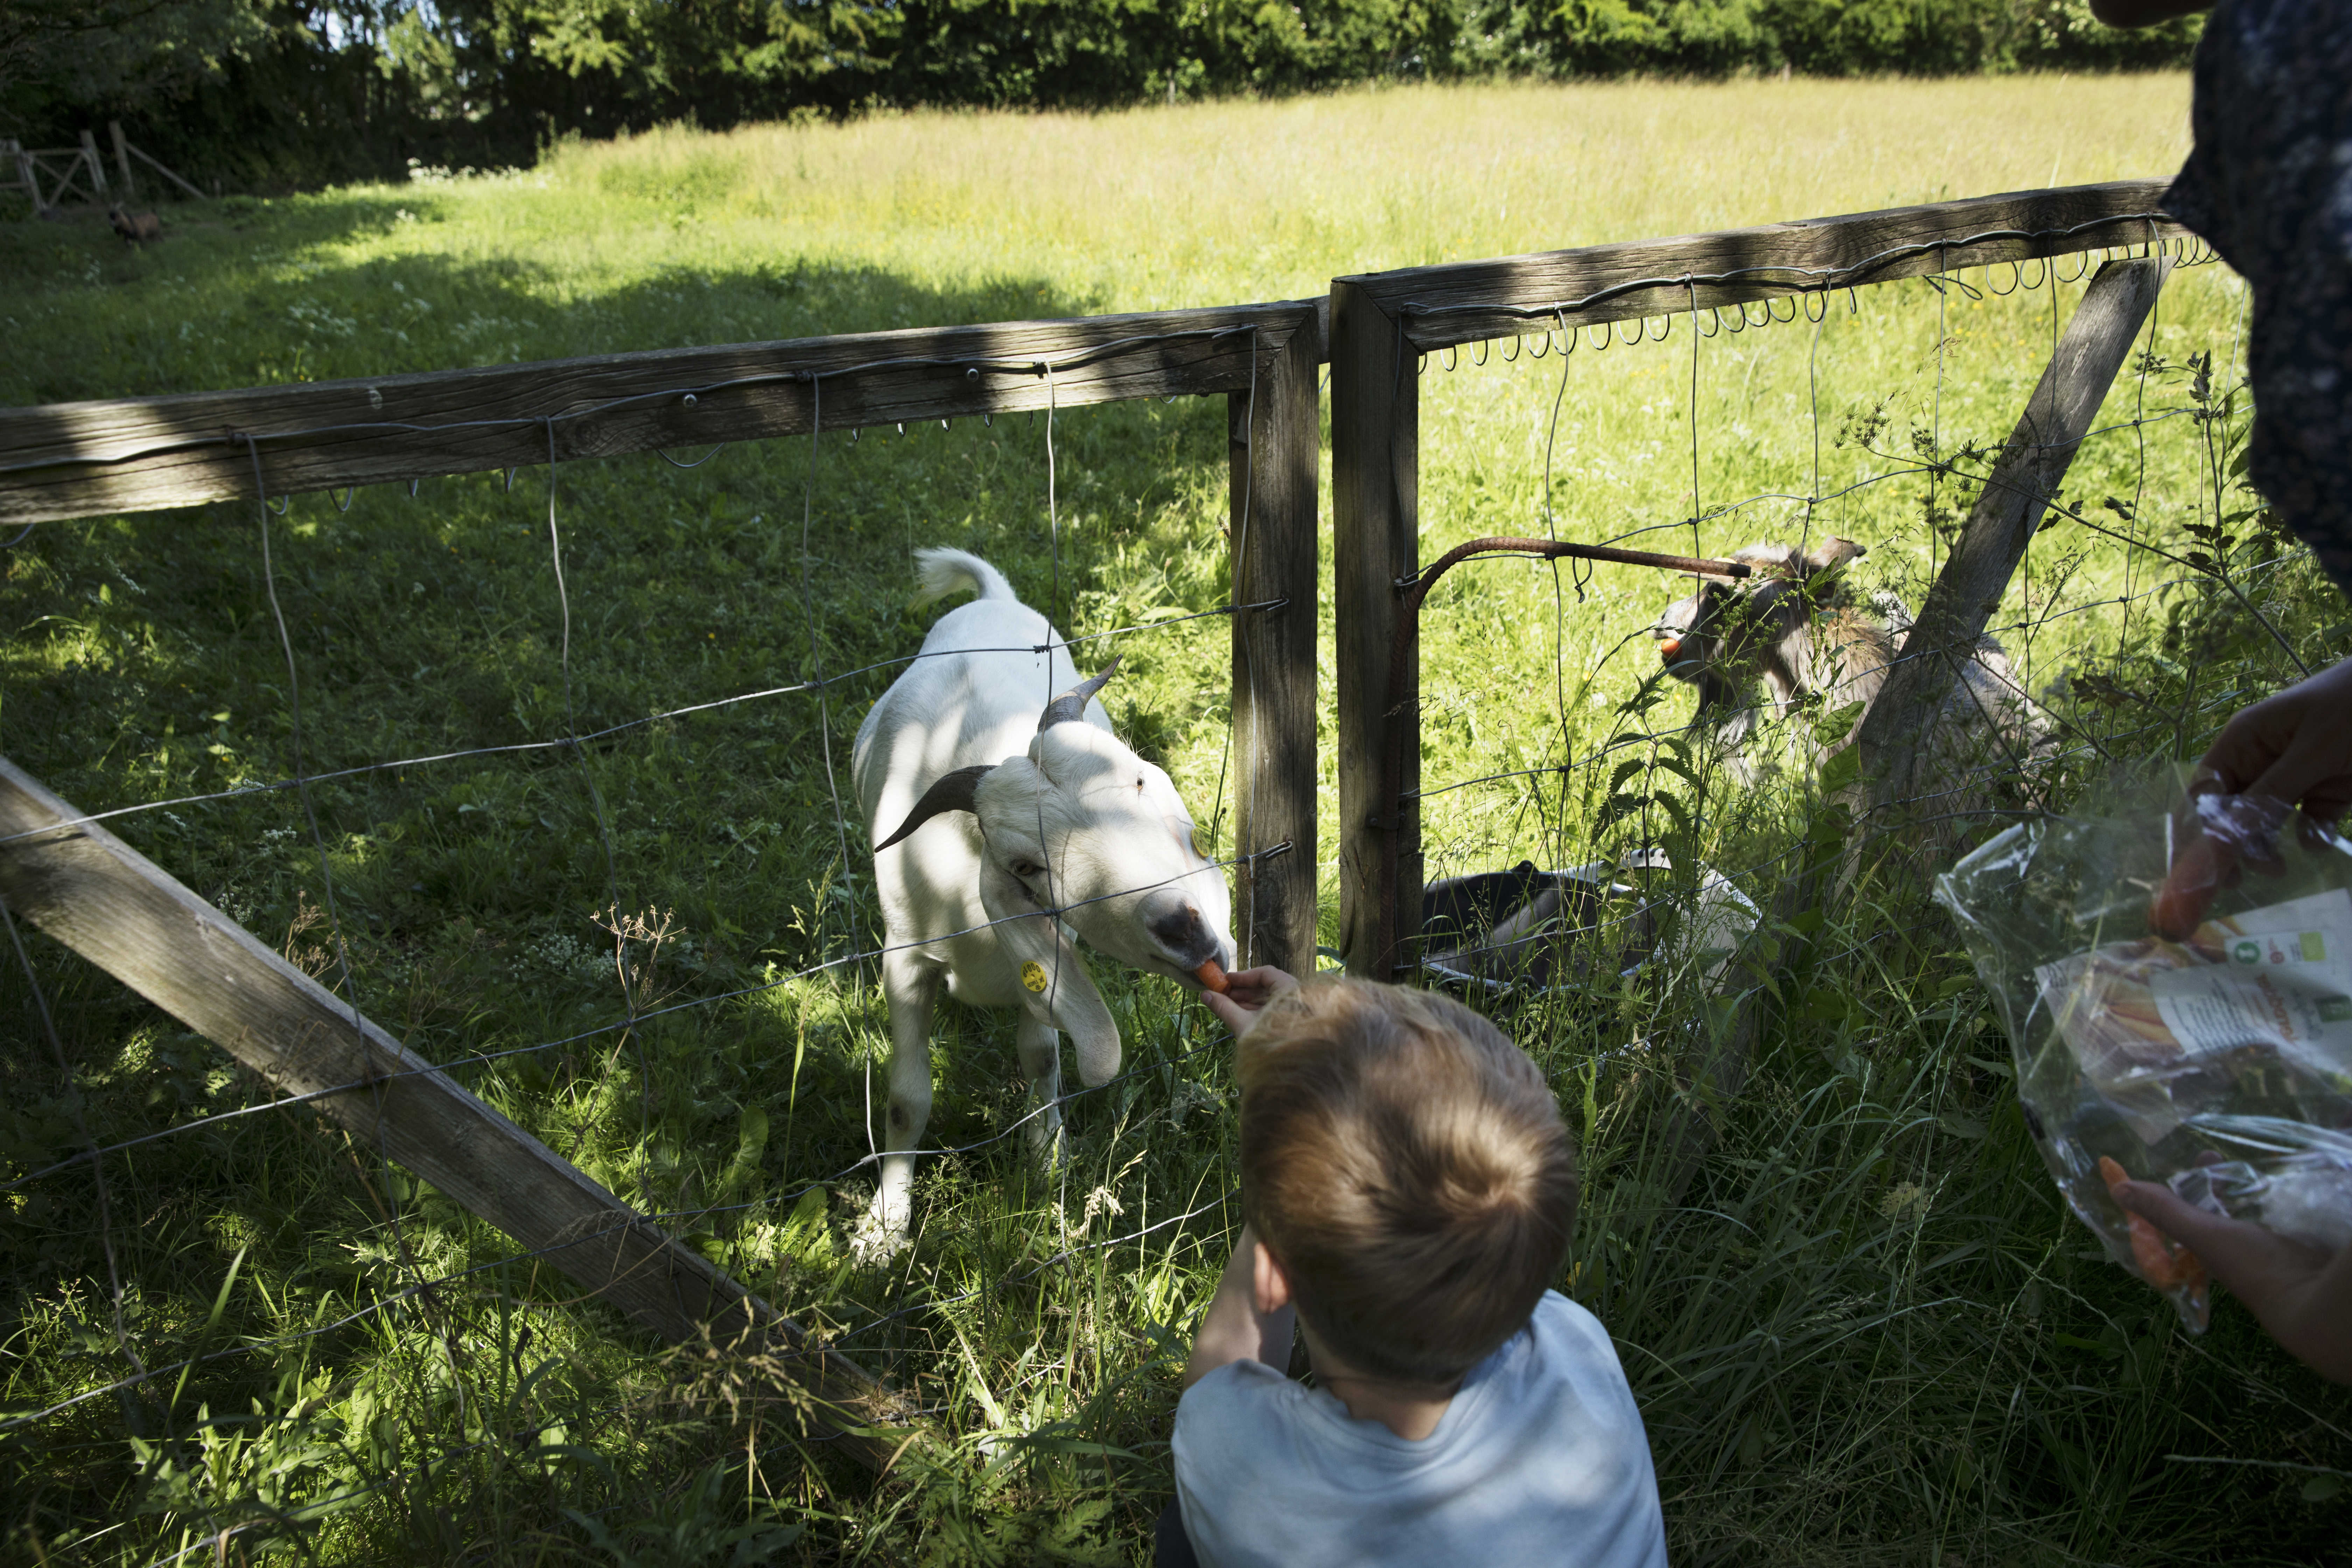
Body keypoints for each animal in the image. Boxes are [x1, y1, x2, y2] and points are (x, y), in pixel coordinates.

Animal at [106, 206, 161, 244]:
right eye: (110, 216)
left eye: (117, 216)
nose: (111, 224)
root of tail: (154, 213)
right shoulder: (127, 237)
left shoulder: (141, 237)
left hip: (156, 231)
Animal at [851, 547, 1236, 1247]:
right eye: (1025, 865)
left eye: (1140, 782)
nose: (1184, 927)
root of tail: (993, 596)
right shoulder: (905, 959)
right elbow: (905, 1101)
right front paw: (885, 1231)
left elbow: (1042, 1057)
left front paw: (1048, 1162)